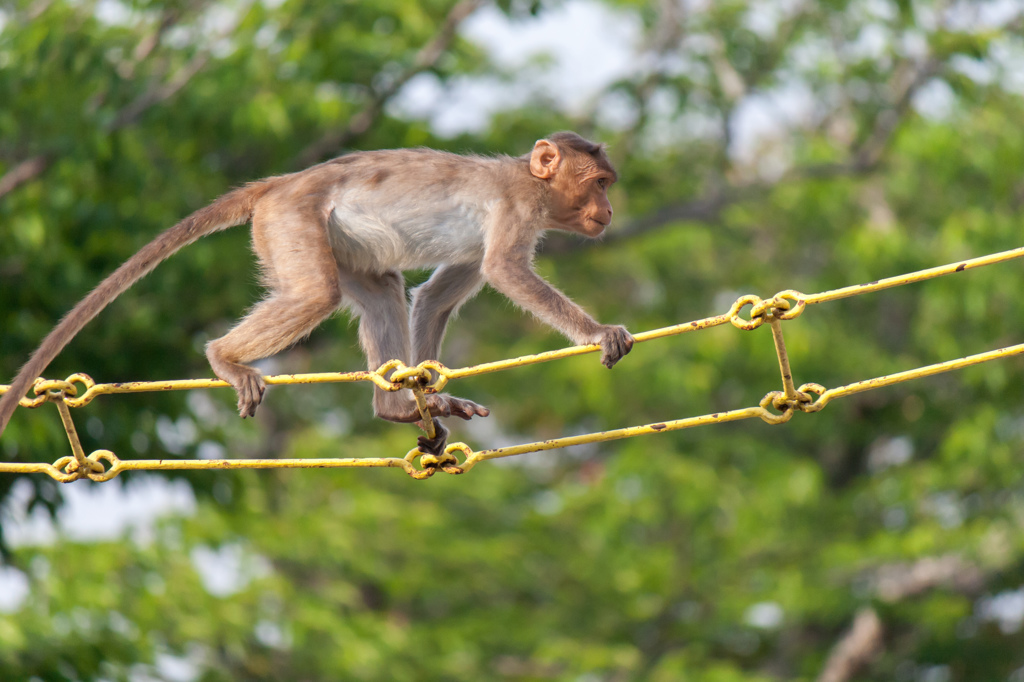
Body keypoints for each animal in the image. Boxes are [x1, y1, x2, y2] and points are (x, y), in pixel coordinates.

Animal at [0, 131, 630, 450]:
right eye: (598, 182)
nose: (610, 210)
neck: (531, 182)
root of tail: (281, 183)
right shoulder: (516, 209)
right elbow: (505, 271)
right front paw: (599, 332)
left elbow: (435, 298)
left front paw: (433, 392)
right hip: (291, 221)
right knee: (315, 296)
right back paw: (223, 357)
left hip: (331, 239)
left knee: (379, 291)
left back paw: (394, 405)